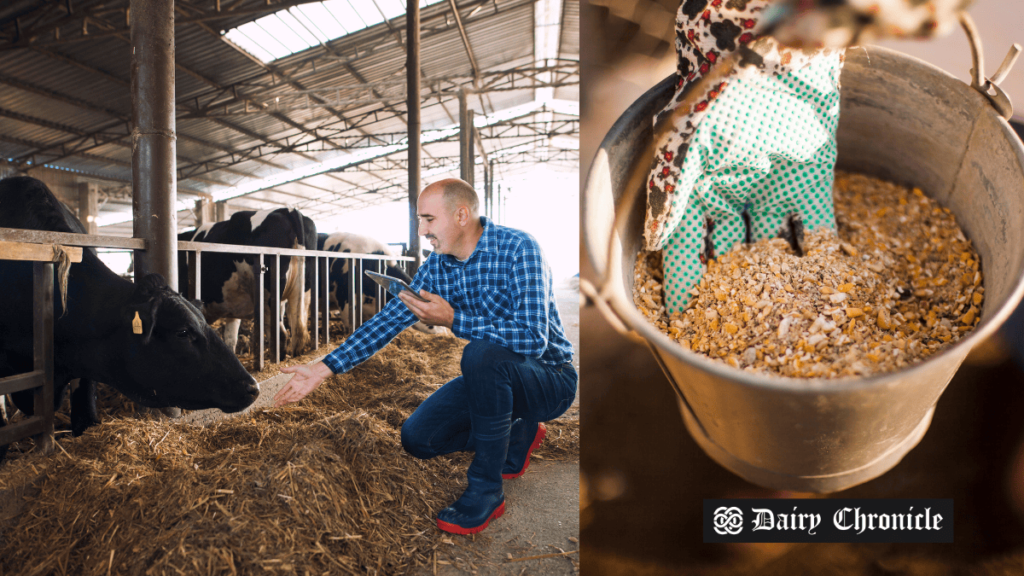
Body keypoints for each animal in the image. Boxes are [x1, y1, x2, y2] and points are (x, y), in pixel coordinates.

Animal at [178, 206, 315, 358]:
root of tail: (288, 209)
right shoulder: (232, 309)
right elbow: (230, 339)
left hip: (267, 298)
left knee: (281, 335)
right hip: (301, 294)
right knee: (297, 332)